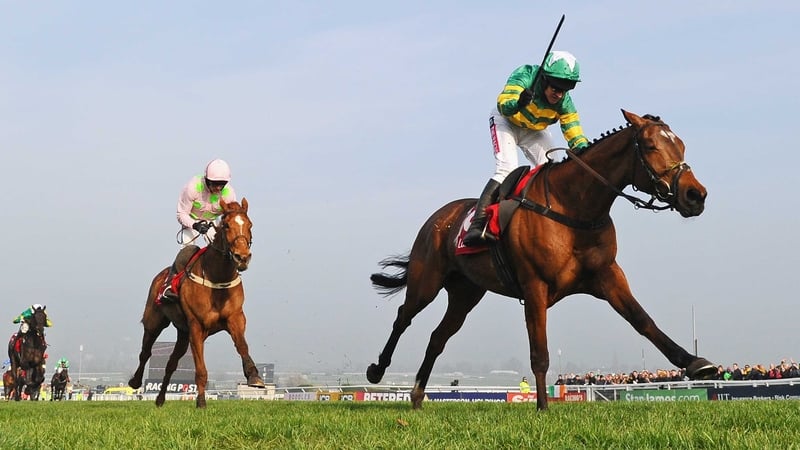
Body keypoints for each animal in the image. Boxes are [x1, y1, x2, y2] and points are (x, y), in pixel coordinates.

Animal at [129, 198, 264, 408]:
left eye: (250, 225)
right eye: (226, 225)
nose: (242, 257)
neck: (217, 278)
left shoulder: (235, 318)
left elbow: (242, 346)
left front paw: (254, 376)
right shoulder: (196, 326)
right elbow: (200, 369)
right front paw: (201, 402)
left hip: (182, 333)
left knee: (171, 363)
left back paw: (160, 399)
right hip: (154, 322)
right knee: (145, 352)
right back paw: (135, 381)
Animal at [367, 110, 717, 410]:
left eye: (680, 144)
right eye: (650, 145)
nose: (695, 195)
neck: (574, 206)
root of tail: (439, 218)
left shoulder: (607, 276)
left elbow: (643, 320)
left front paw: (696, 363)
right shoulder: (534, 285)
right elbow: (540, 352)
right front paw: (542, 407)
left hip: (466, 293)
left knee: (437, 338)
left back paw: (416, 396)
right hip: (427, 280)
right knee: (403, 317)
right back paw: (377, 369)